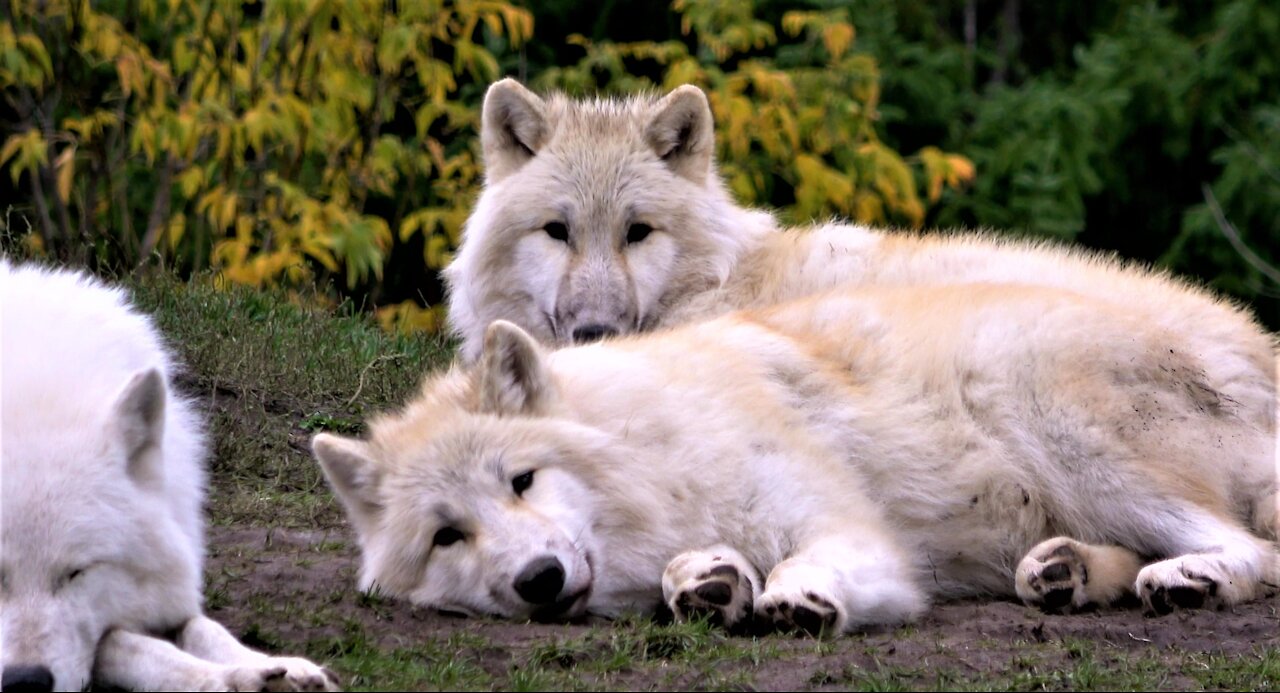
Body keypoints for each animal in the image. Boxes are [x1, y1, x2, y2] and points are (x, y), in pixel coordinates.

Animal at [0, 261, 340, 691]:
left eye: (76, 573)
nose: (24, 681)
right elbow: (121, 644)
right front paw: (227, 677)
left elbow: (199, 625)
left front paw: (272, 665)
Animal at [312, 279, 1280, 632]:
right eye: (448, 536)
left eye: (521, 480)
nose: (539, 580)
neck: (654, 452)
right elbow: (696, 571)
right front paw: (707, 581)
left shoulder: (855, 534)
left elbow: (812, 562)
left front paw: (796, 595)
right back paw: (1065, 572)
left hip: (1049, 413)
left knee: (1256, 552)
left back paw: (1188, 579)